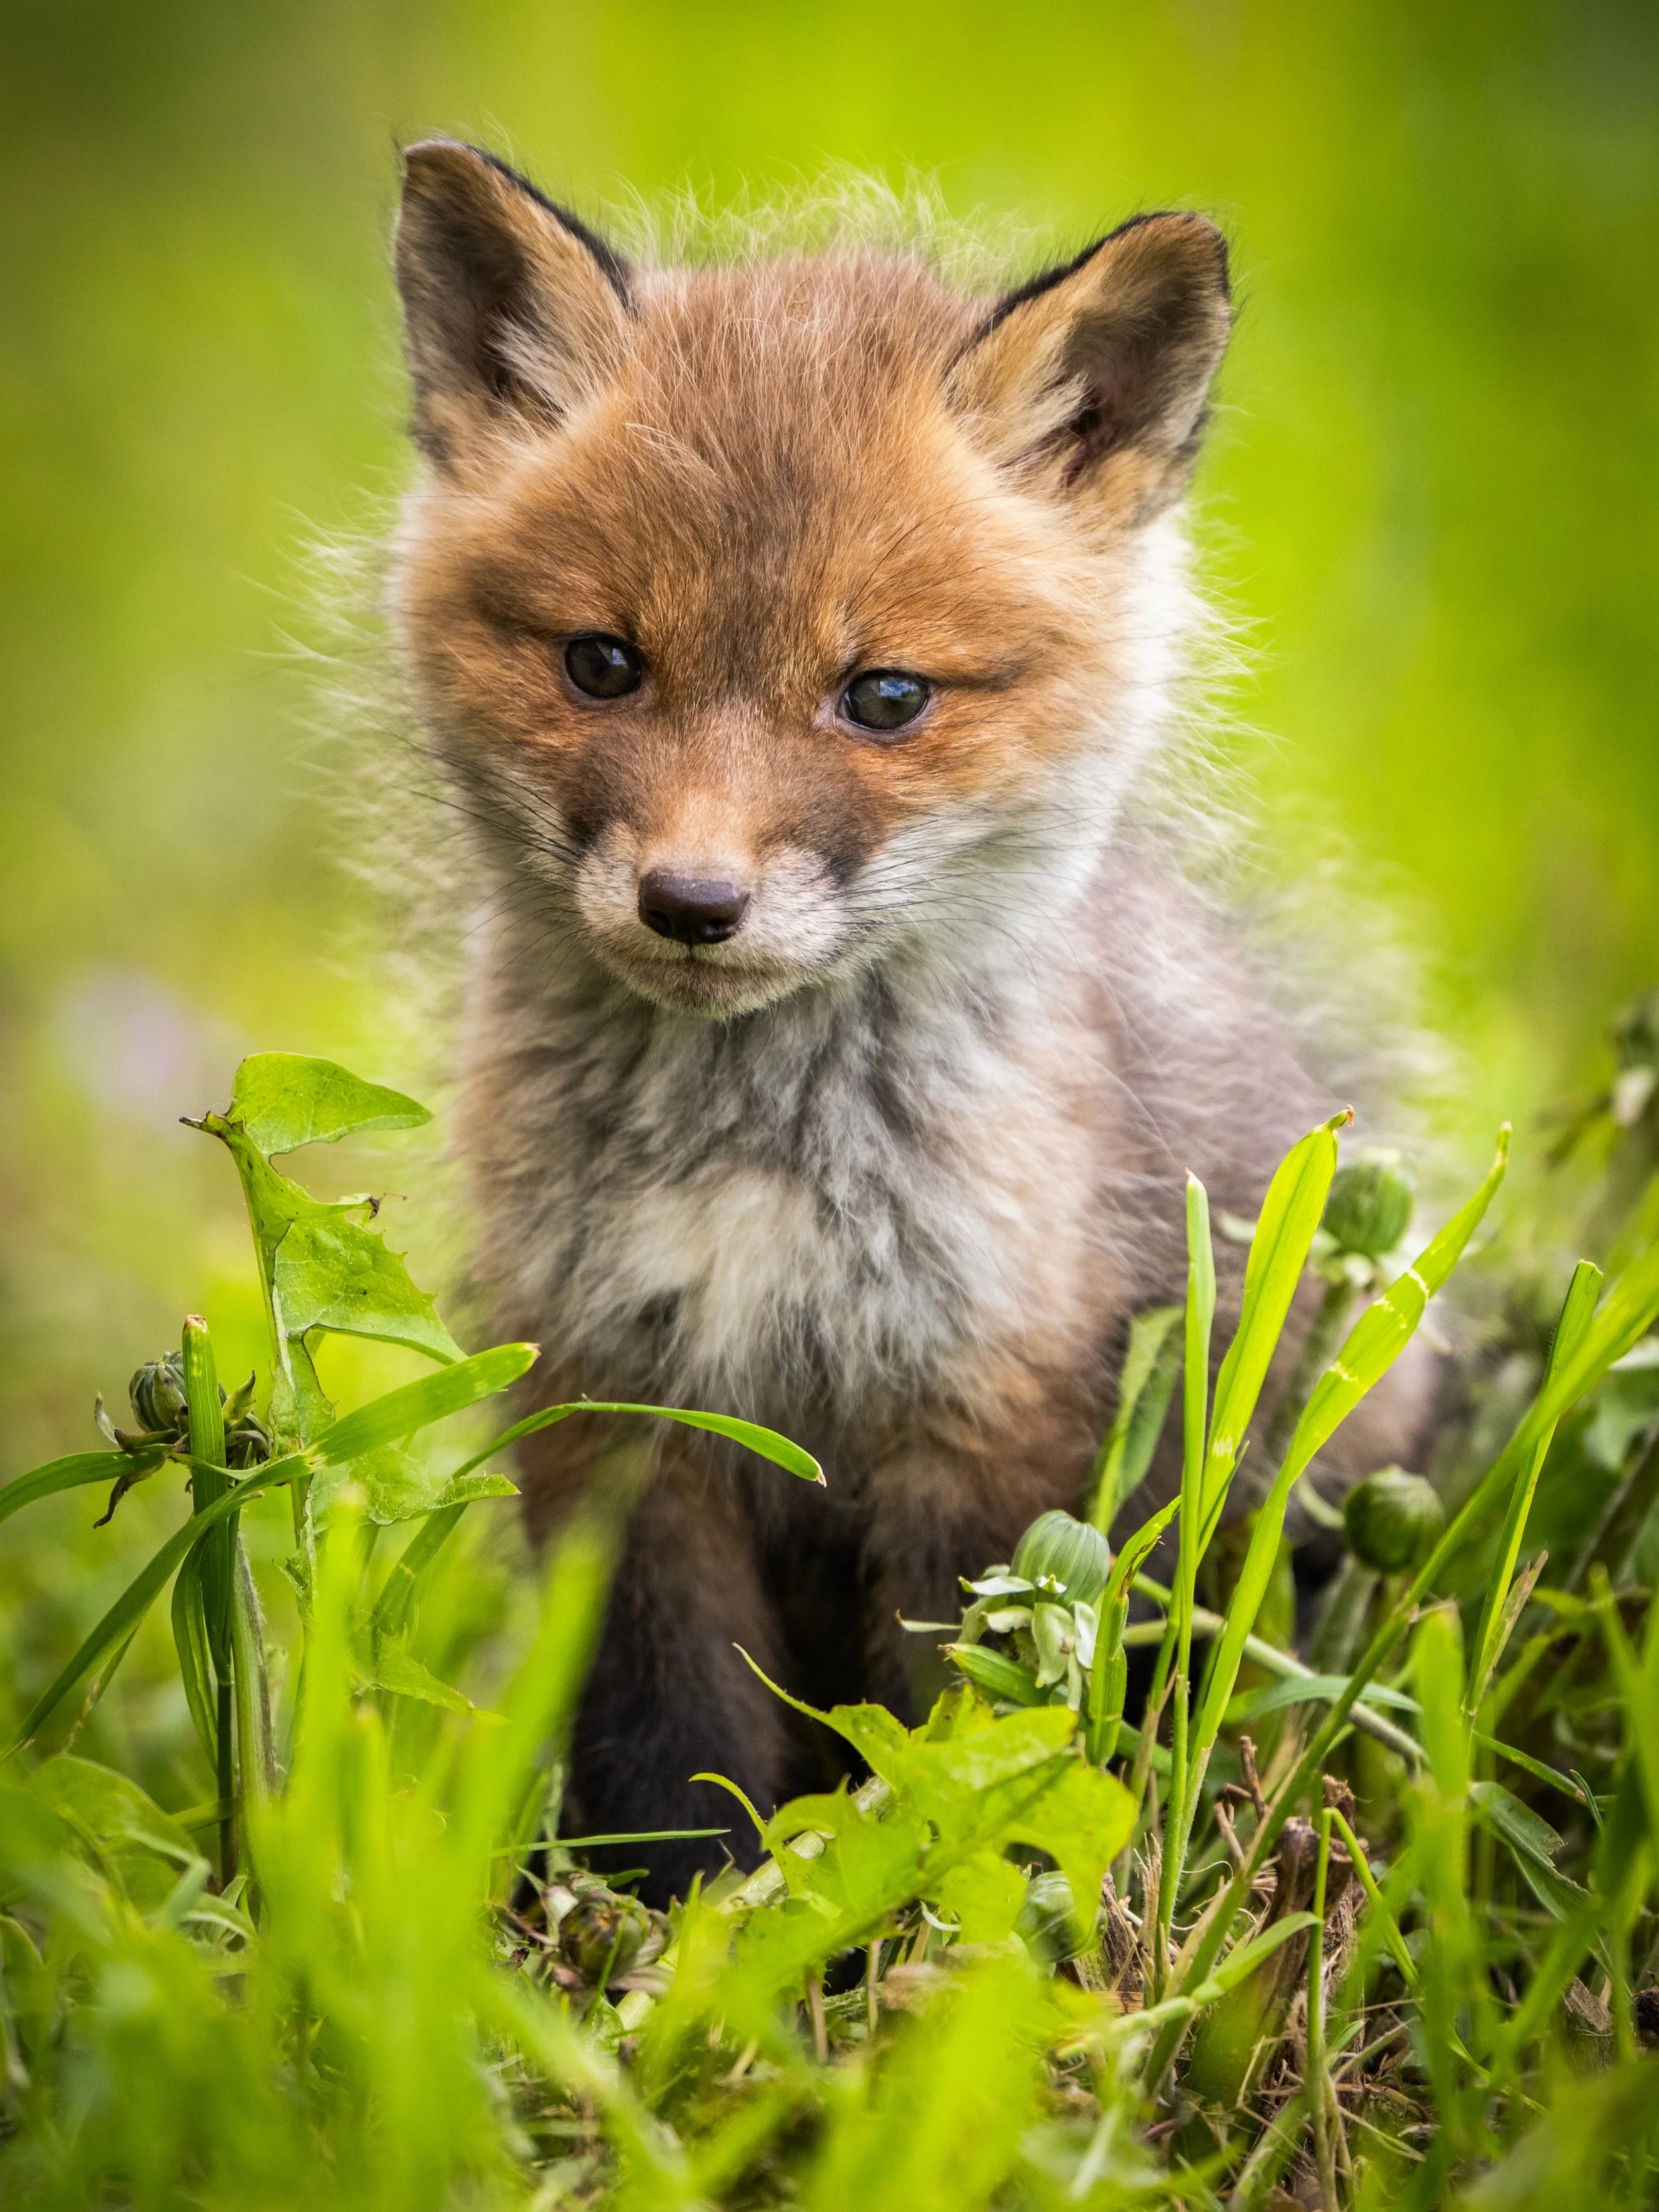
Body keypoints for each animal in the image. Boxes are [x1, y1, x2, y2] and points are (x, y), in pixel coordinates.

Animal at [386, 141, 1425, 1904]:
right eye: (601, 664)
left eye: (882, 697)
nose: (690, 901)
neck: (753, 1177)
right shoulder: (616, 1403)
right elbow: (667, 1731)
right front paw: (664, 1925)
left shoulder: (987, 1414)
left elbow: (948, 1735)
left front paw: (913, 1924)